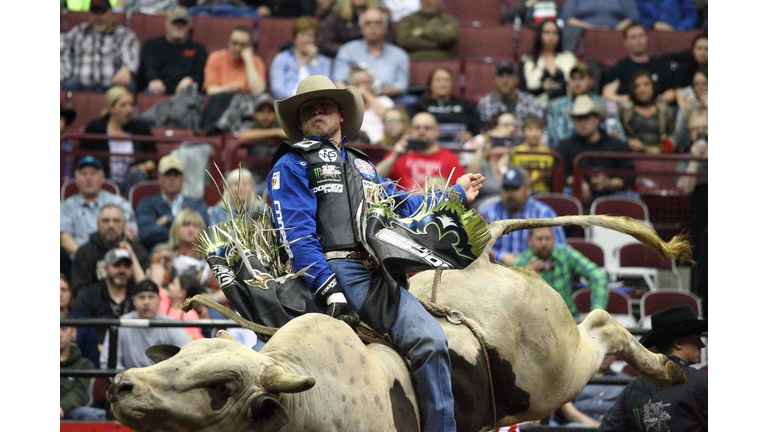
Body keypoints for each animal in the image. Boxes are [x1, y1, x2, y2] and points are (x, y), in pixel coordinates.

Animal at [106, 214, 688, 430]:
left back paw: (667, 369)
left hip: (554, 370)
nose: (121, 385)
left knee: (604, 325)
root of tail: (482, 255)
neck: (307, 406)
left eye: (221, 387)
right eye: (181, 355)